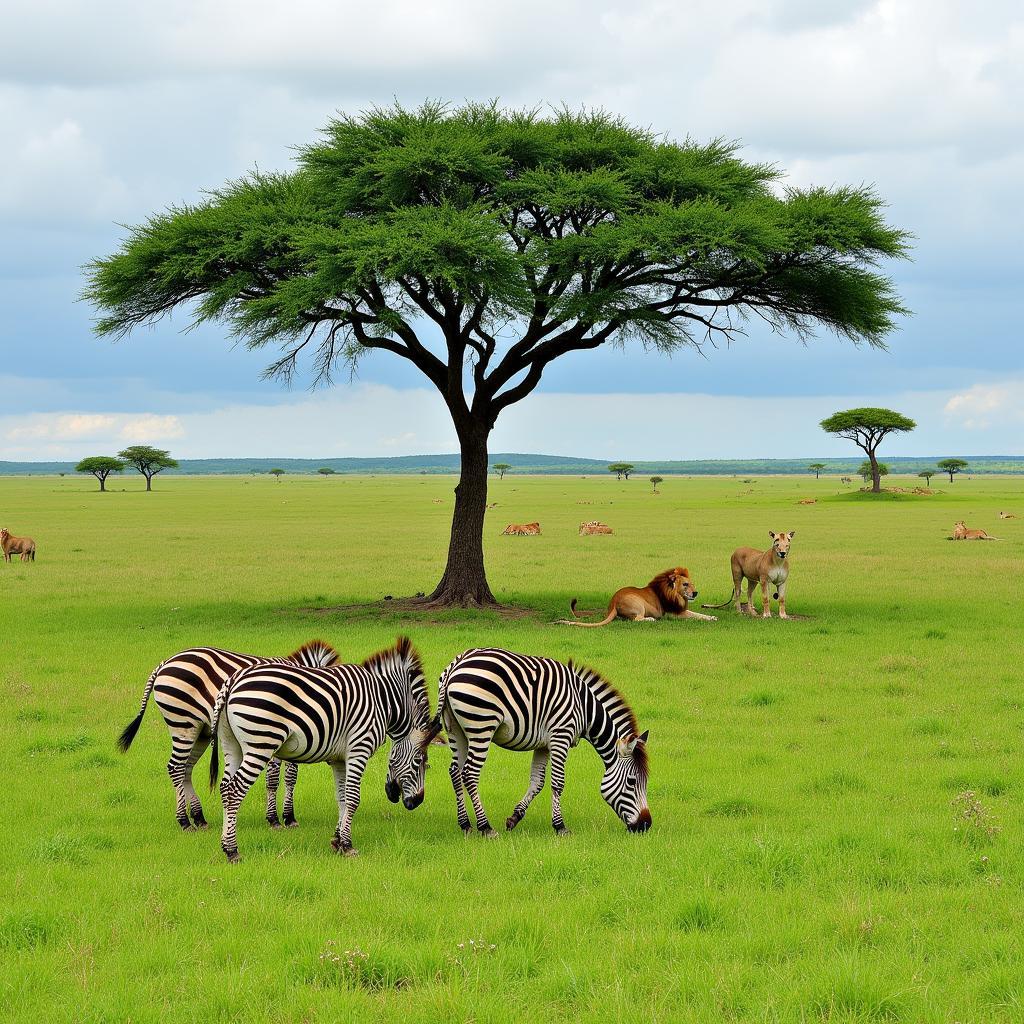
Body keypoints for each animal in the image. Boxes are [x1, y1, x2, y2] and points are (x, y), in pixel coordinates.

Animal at [116, 638, 339, 831]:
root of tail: (164, 664)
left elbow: (286, 778)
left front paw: (283, 816)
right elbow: (278, 778)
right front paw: (279, 818)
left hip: (200, 732)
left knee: (186, 768)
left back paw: (198, 817)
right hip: (183, 722)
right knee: (176, 767)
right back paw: (184, 822)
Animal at [211, 634, 440, 860]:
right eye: (420, 762)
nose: (417, 802)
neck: (382, 701)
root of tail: (233, 680)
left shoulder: (339, 759)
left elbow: (341, 797)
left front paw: (337, 841)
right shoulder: (359, 749)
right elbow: (353, 797)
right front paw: (348, 845)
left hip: (232, 745)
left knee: (224, 787)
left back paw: (224, 843)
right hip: (261, 743)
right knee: (235, 790)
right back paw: (232, 850)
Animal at [436, 651, 651, 835]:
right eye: (632, 781)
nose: (646, 825)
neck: (584, 709)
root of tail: (457, 664)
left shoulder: (543, 744)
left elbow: (537, 782)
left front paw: (514, 818)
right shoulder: (561, 736)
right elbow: (558, 782)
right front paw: (560, 826)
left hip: (456, 729)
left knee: (455, 771)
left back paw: (465, 824)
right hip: (482, 725)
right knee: (470, 773)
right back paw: (485, 827)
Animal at [557, 565, 716, 626]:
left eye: (692, 584)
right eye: (685, 585)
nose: (695, 592)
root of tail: (613, 603)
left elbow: (698, 614)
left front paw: (711, 617)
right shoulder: (674, 614)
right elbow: (693, 615)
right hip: (639, 603)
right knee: (636, 619)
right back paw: (650, 619)